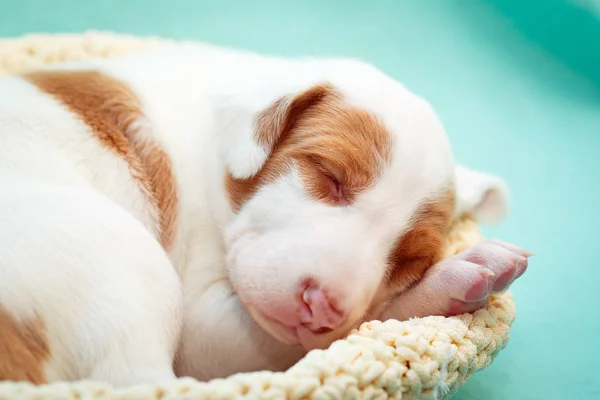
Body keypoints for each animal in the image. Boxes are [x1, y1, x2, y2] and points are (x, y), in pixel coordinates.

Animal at [0, 42, 528, 386]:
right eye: (328, 176)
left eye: (409, 261)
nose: (323, 307)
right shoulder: (204, 325)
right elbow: (341, 331)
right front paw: (456, 277)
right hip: (123, 260)